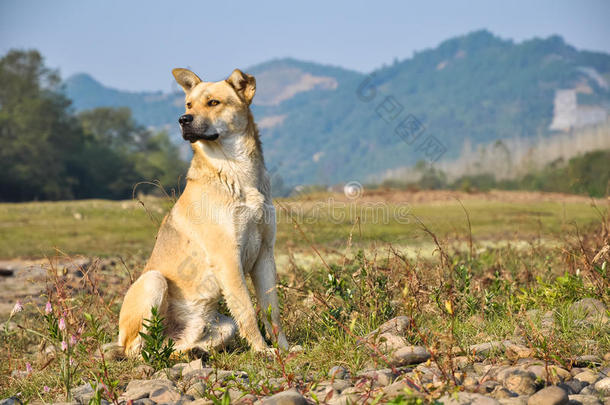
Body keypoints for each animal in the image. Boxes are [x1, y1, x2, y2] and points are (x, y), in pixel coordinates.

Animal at [119, 68, 290, 356]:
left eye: (213, 102)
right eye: (189, 104)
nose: (183, 119)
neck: (235, 171)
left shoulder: (265, 255)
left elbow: (272, 311)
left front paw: (284, 348)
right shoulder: (227, 258)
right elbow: (248, 311)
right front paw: (262, 351)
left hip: (222, 326)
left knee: (176, 346)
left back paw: (193, 351)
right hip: (154, 281)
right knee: (137, 348)